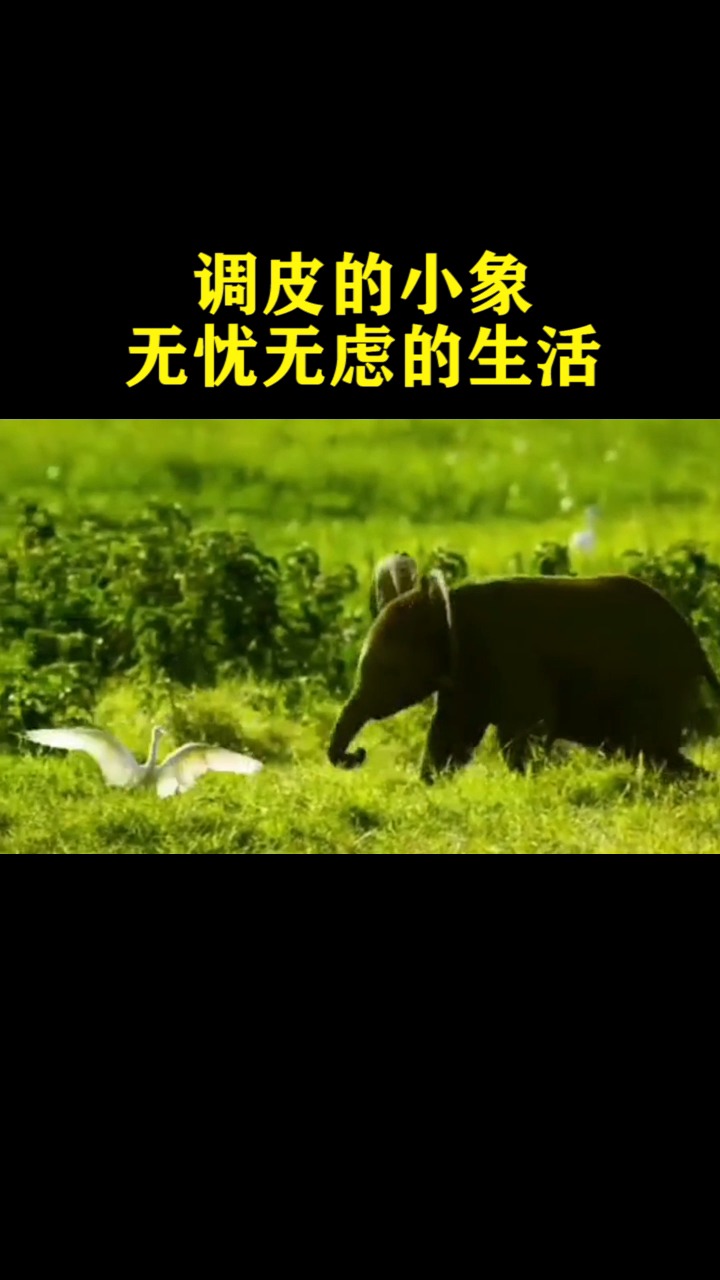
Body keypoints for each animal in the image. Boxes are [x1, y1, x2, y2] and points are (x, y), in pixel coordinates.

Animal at [328, 570, 720, 780]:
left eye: (389, 671)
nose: (357, 755)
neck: (451, 607)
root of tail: (695, 645)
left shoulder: (509, 658)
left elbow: (521, 732)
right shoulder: (464, 676)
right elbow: (451, 736)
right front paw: (428, 784)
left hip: (656, 684)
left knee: (652, 751)